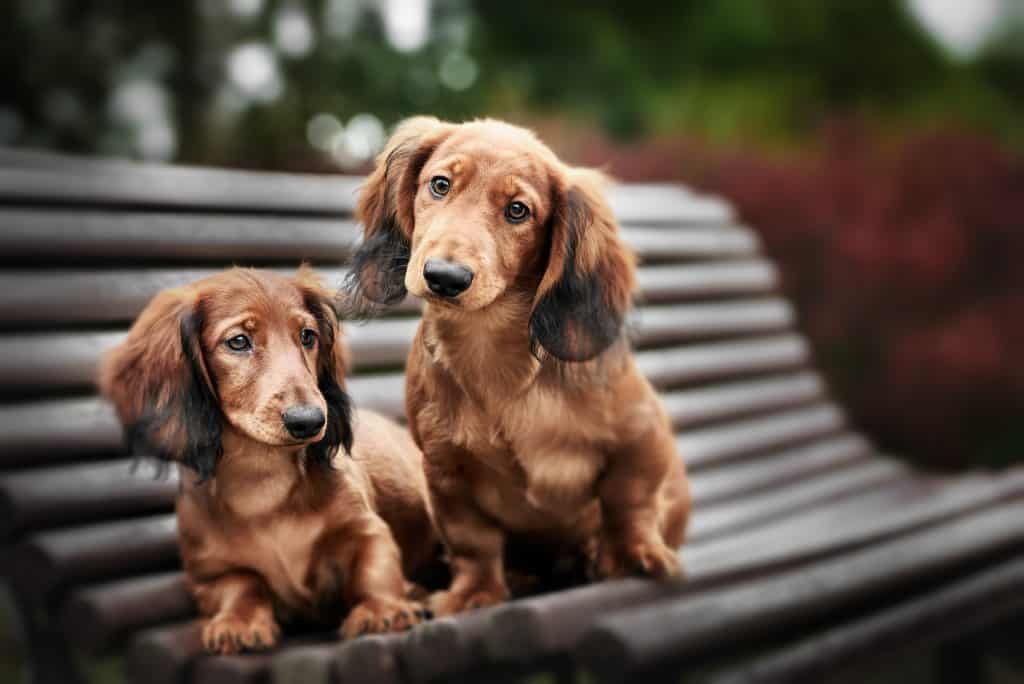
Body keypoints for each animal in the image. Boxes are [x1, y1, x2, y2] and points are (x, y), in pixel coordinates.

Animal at [101, 266, 438, 651]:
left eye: (307, 336)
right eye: (238, 342)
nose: (309, 421)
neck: (264, 483)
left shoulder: (365, 528)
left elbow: (374, 566)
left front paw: (383, 608)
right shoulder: (209, 572)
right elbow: (241, 586)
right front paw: (238, 622)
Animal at [348, 117, 692, 614]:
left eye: (517, 211)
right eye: (440, 184)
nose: (445, 277)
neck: (494, 358)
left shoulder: (642, 435)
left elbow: (630, 501)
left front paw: (633, 554)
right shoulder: (446, 473)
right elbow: (474, 542)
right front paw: (475, 591)